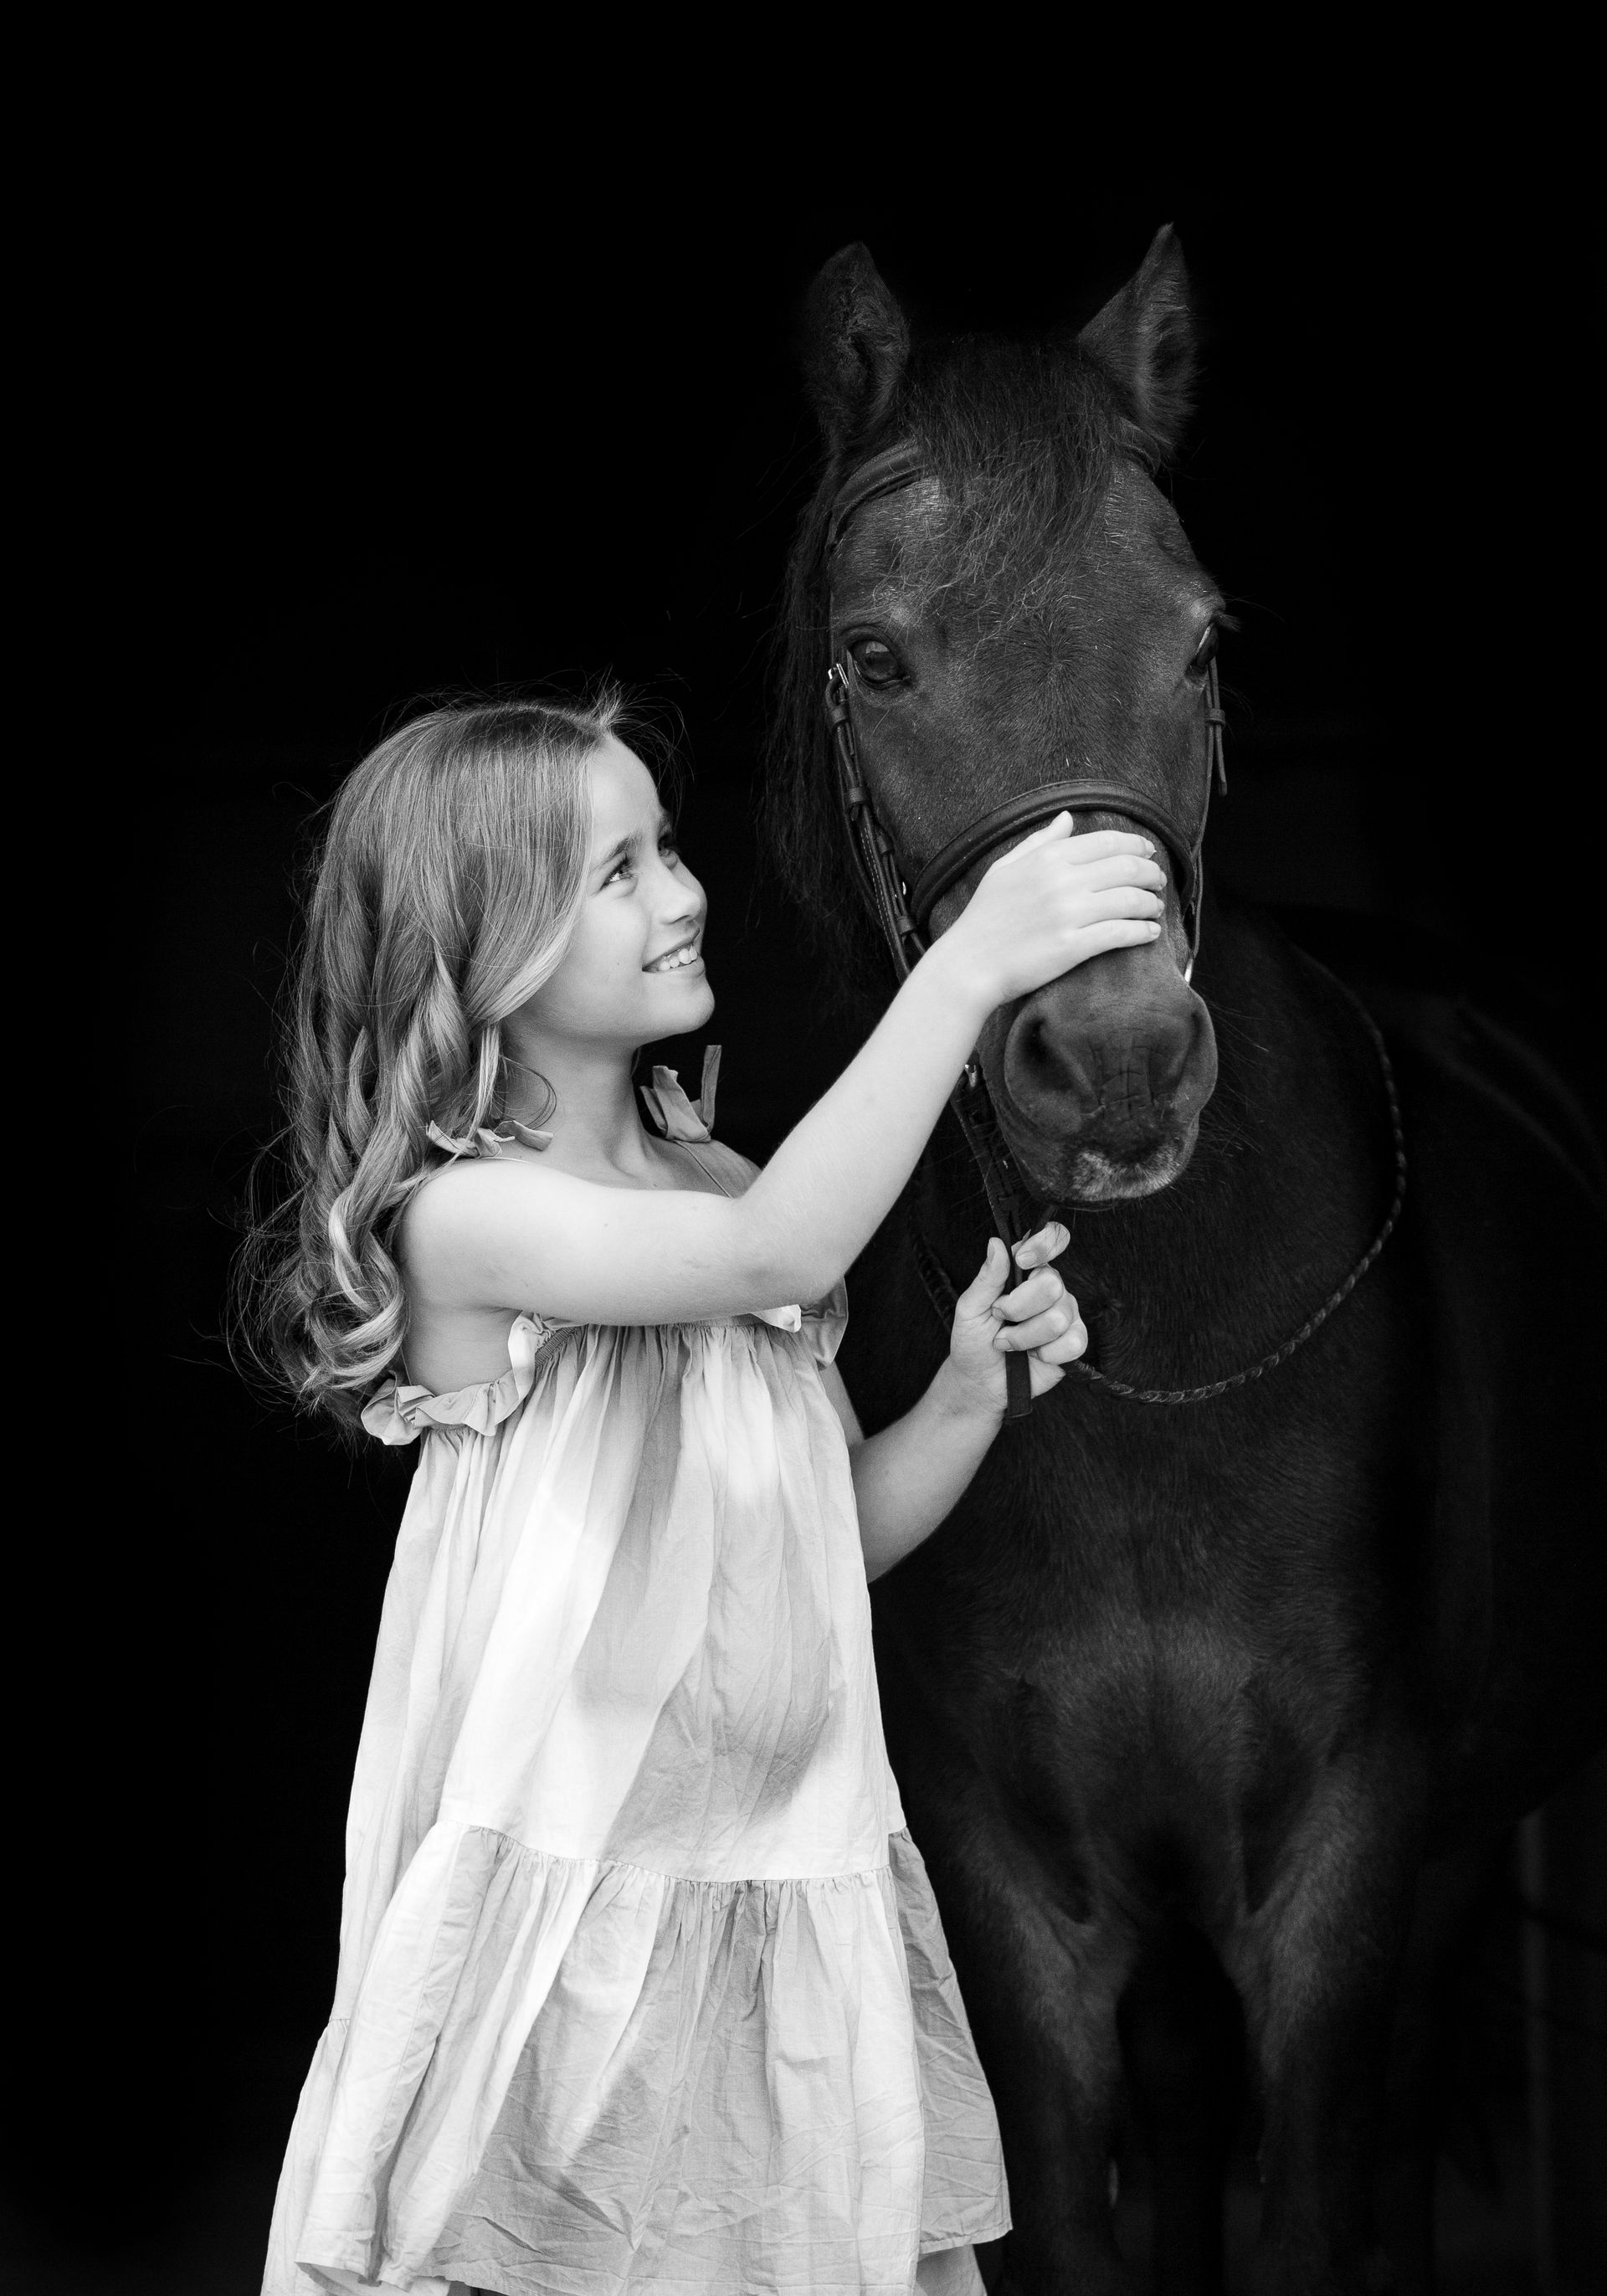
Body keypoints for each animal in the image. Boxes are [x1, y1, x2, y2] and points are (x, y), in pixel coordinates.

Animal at [763, 228, 1606, 2295]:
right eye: (876, 655)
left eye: (1203, 640)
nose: (1122, 1062)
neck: (1159, 1373)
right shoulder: (1026, 1898)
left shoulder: (1340, 1873)